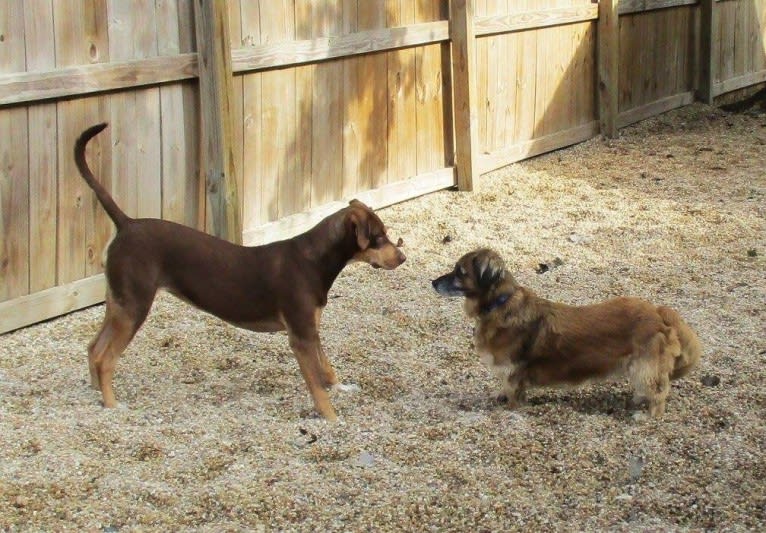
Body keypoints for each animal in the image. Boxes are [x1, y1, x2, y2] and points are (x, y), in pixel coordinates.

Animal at [76, 123, 408, 420]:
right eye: (379, 238)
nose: (403, 257)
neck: (313, 259)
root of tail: (126, 223)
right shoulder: (300, 337)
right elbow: (316, 384)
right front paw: (333, 419)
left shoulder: (312, 330)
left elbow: (326, 367)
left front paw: (342, 388)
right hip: (134, 307)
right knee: (105, 358)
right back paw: (112, 405)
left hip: (118, 304)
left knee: (93, 348)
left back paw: (96, 394)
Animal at [432, 247, 704, 418]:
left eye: (460, 272)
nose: (432, 282)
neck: (500, 303)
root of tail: (658, 312)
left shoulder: (514, 373)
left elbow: (513, 397)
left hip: (645, 366)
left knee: (658, 392)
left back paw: (648, 417)